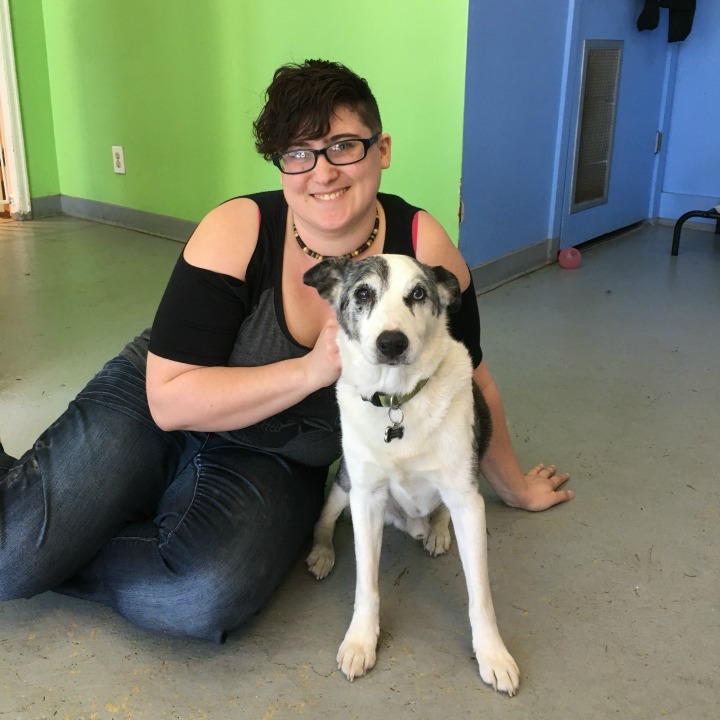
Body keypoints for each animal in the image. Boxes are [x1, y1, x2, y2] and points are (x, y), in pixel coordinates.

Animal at [302, 256, 516, 696]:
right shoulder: (366, 497)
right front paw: (361, 640)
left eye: (418, 293)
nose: (392, 343)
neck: (397, 401)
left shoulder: (468, 501)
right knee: (326, 516)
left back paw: (433, 530)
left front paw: (493, 653)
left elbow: (480, 594)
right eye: (363, 293)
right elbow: (366, 583)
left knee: (435, 514)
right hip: (346, 484)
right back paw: (323, 551)